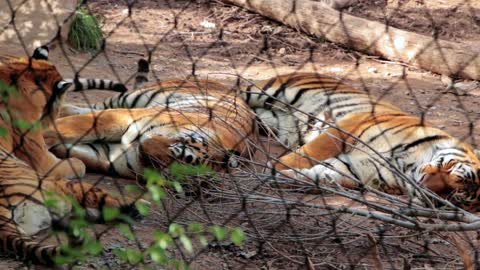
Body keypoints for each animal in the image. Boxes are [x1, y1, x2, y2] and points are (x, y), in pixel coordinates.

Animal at [43, 58, 256, 179]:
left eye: (178, 163)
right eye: (179, 145)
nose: (144, 147)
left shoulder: (107, 155)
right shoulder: (119, 117)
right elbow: (59, 129)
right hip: (130, 98)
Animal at [242, 72, 480, 211]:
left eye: (452, 196)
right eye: (448, 165)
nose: (425, 186)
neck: (407, 165)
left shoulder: (355, 168)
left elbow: (323, 175)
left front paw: (290, 178)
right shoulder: (349, 127)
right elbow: (307, 153)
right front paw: (274, 168)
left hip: (268, 119)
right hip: (267, 91)